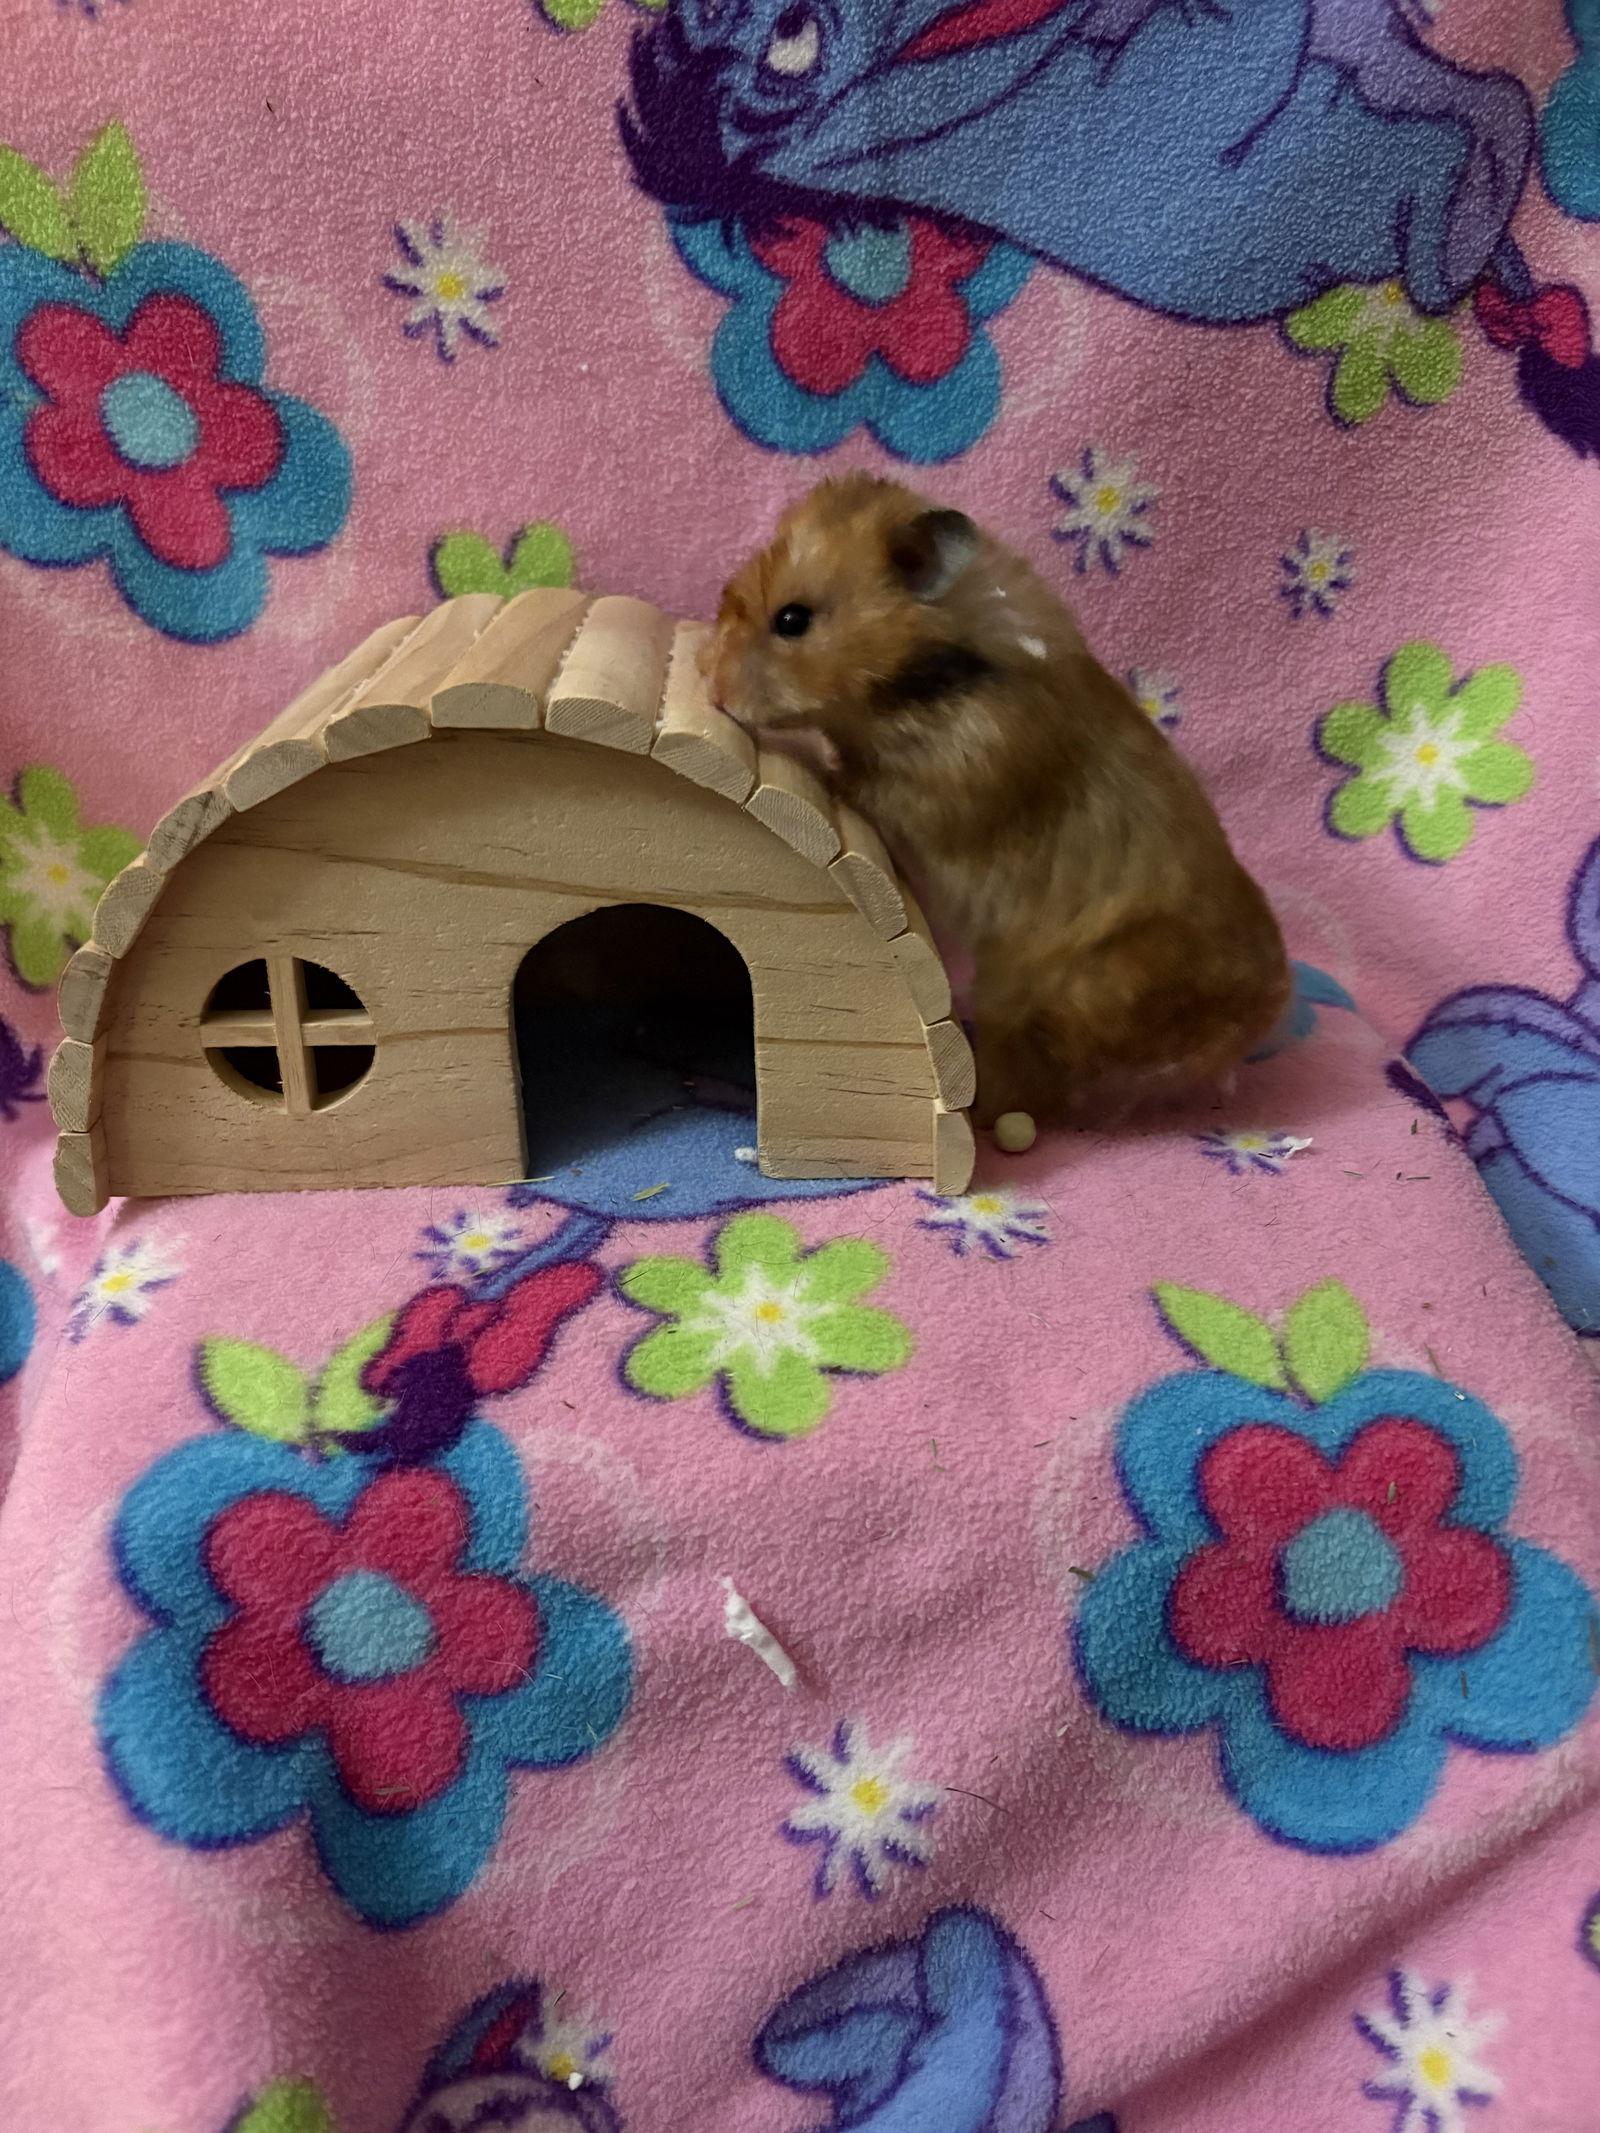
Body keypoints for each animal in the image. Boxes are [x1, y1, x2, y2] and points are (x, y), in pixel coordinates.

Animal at [706, 473, 1291, 1129]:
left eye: (792, 618)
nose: (710, 682)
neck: (920, 684)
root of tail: (1248, 1024)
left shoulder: (949, 781)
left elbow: (862, 782)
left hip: (1058, 999)